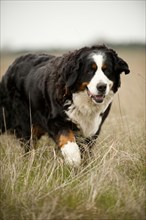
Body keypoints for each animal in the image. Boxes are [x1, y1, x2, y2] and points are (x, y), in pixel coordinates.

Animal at [0, 44, 130, 167]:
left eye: (107, 70)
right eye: (89, 71)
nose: (102, 87)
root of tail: (11, 67)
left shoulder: (93, 129)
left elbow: (85, 149)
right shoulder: (55, 120)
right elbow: (68, 140)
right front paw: (73, 159)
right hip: (26, 123)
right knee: (28, 146)